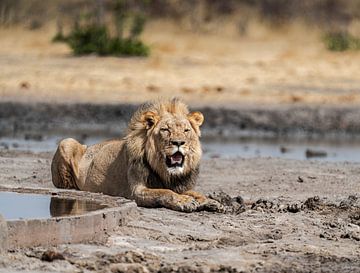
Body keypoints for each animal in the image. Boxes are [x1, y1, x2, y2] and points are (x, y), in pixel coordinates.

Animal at [51, 99, 222, 211]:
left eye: (186, 130)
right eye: (165, 130)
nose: (179, 142)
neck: (166, 172)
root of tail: (89, 146)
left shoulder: (180, 185)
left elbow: (194, 192)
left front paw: (210, 201)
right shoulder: (136, 192)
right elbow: (165, 192)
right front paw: (184, 201)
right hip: (66, 142)